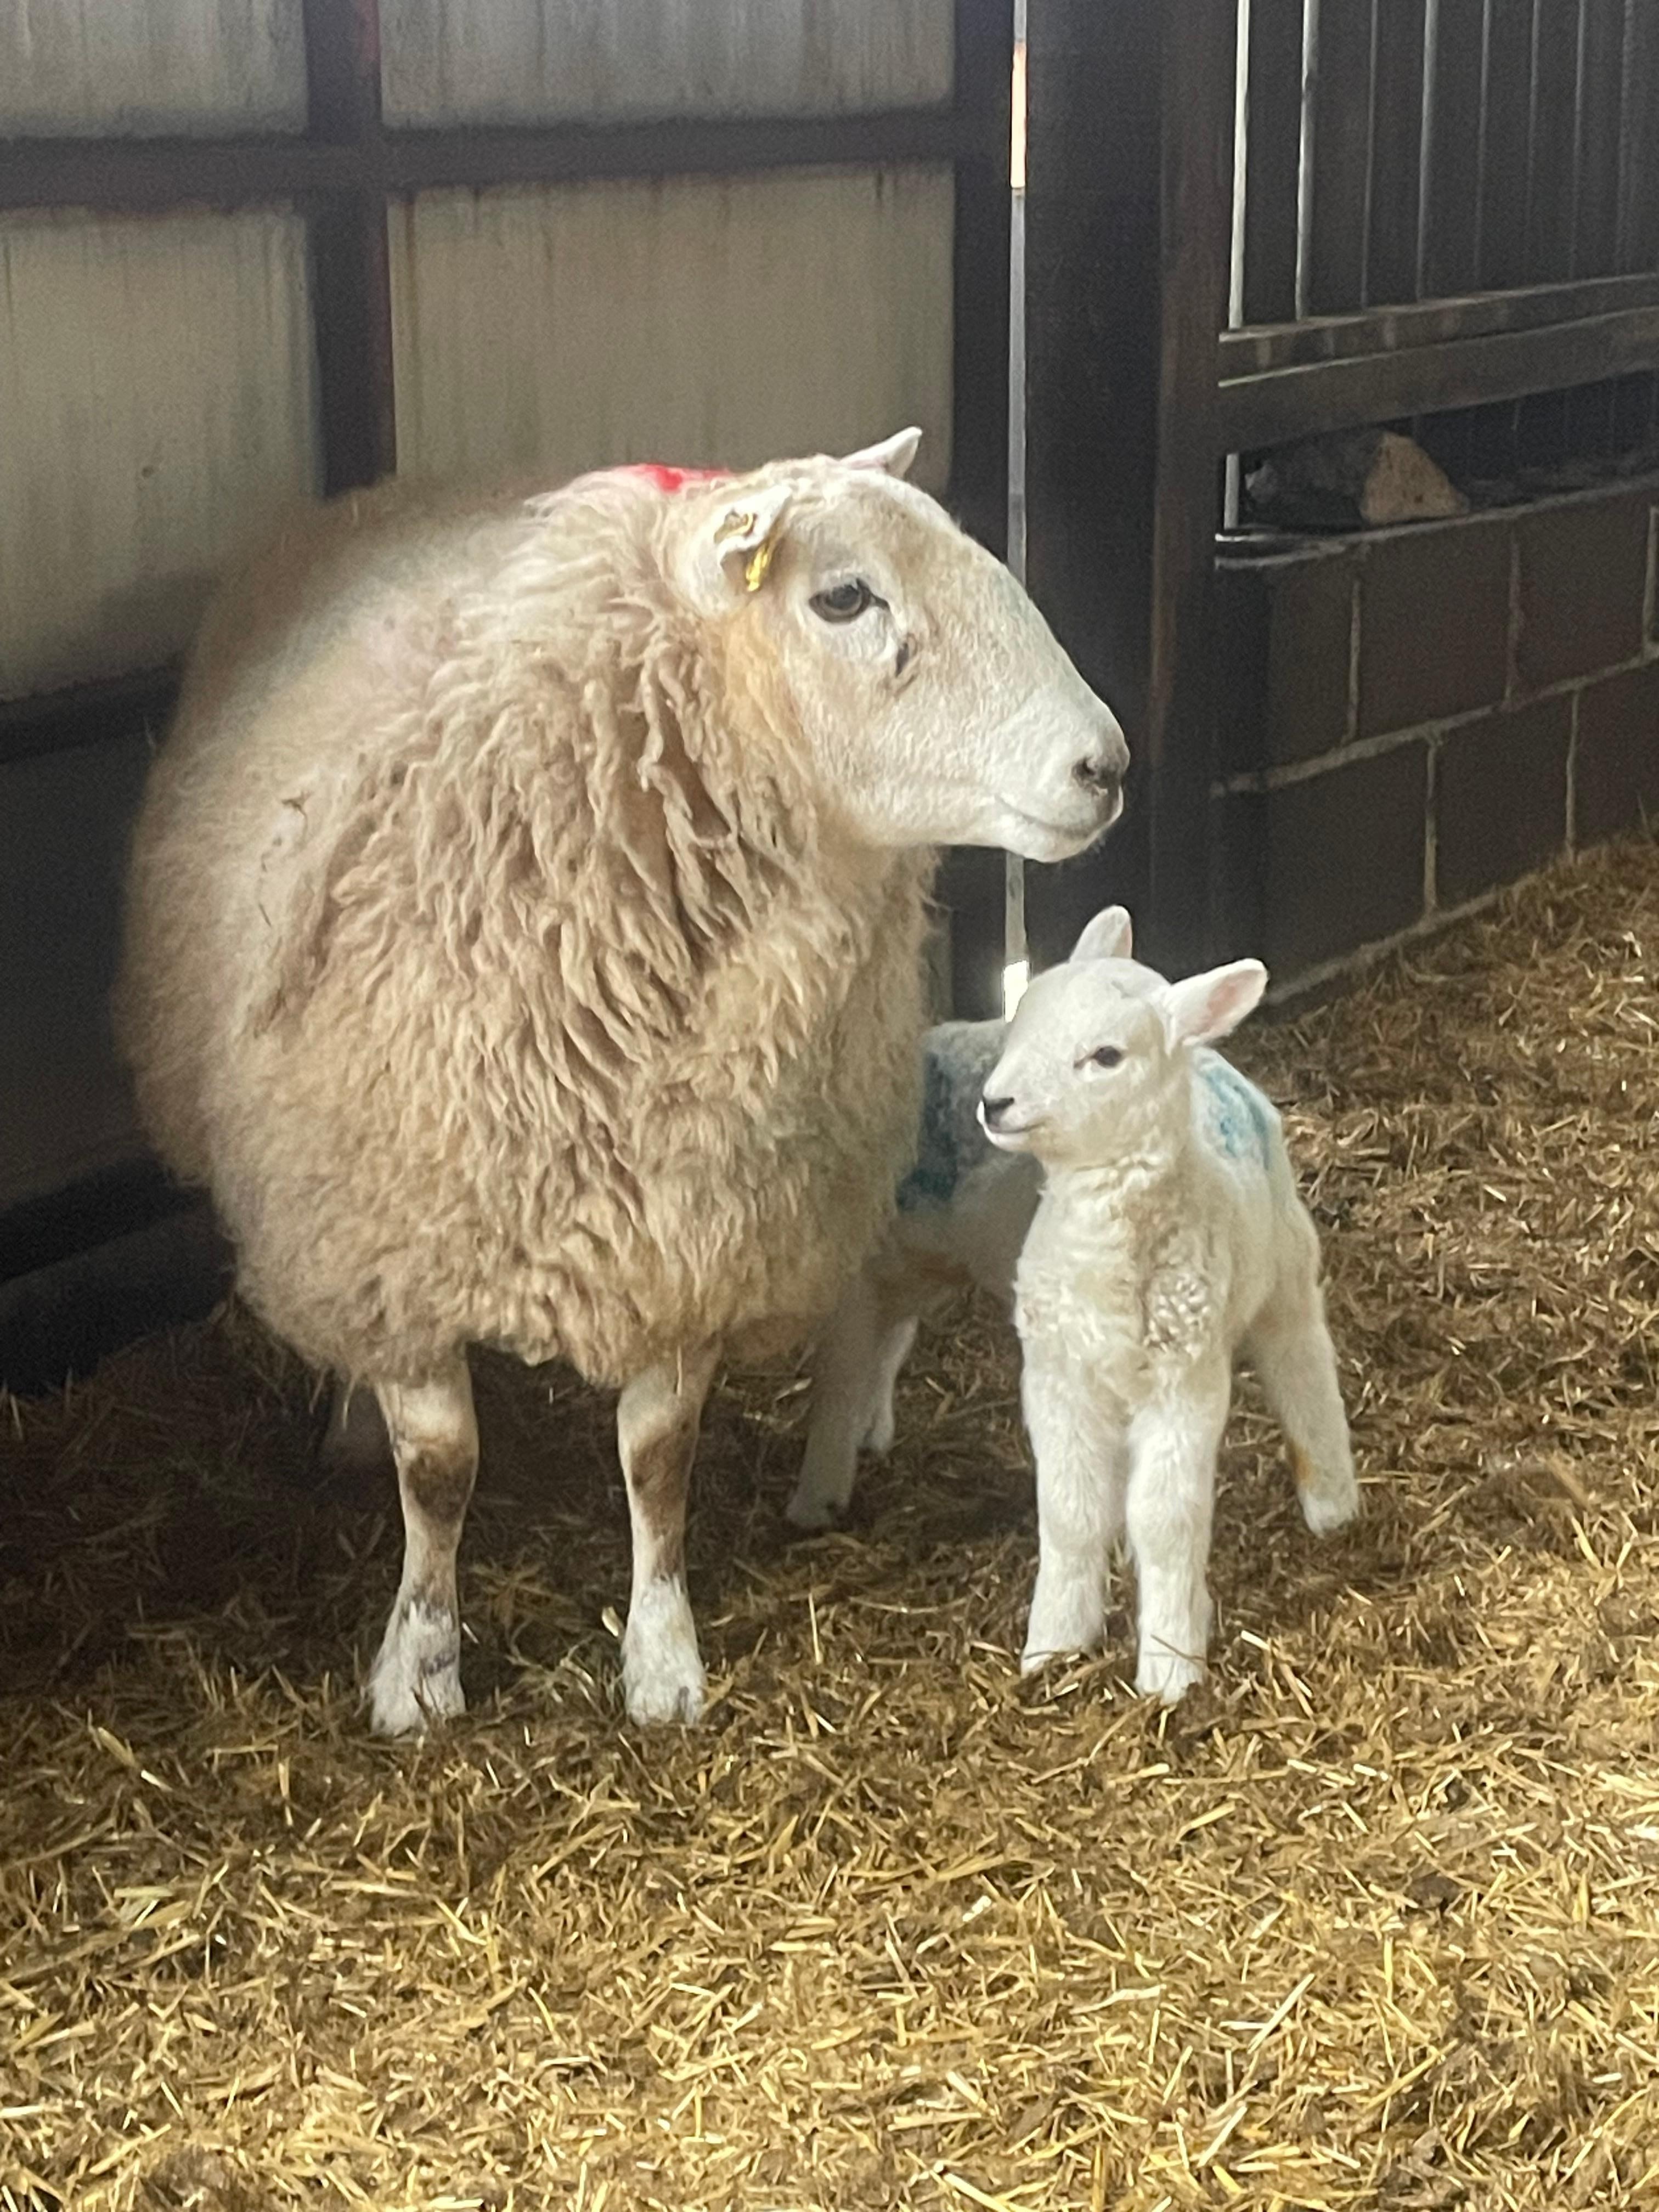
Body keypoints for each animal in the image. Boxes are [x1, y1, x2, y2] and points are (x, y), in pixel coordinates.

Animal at [113, 429, 1129, 1734]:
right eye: (842, 597)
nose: (1104, 765)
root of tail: (392, 490)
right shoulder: (400, 1228)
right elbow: (439, 1470)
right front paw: (419, 1665)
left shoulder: (690, 1228)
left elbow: (658, 1459)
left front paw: (660, 1656)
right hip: (332, 1221)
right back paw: (348, 1428)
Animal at [978, 906, 1360, 1702]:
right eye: (1019, 1022)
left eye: (1106, 1057)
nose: (996, 1102)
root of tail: (1205, 1055)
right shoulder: (1056, 1375)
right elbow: (1068, 1512)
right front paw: (1053, 1647)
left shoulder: (1187, 1381)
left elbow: (1168, 1518)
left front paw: (1170, 1667)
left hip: (1284, 1268)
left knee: (1305, 1369)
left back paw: (1333, 1506)